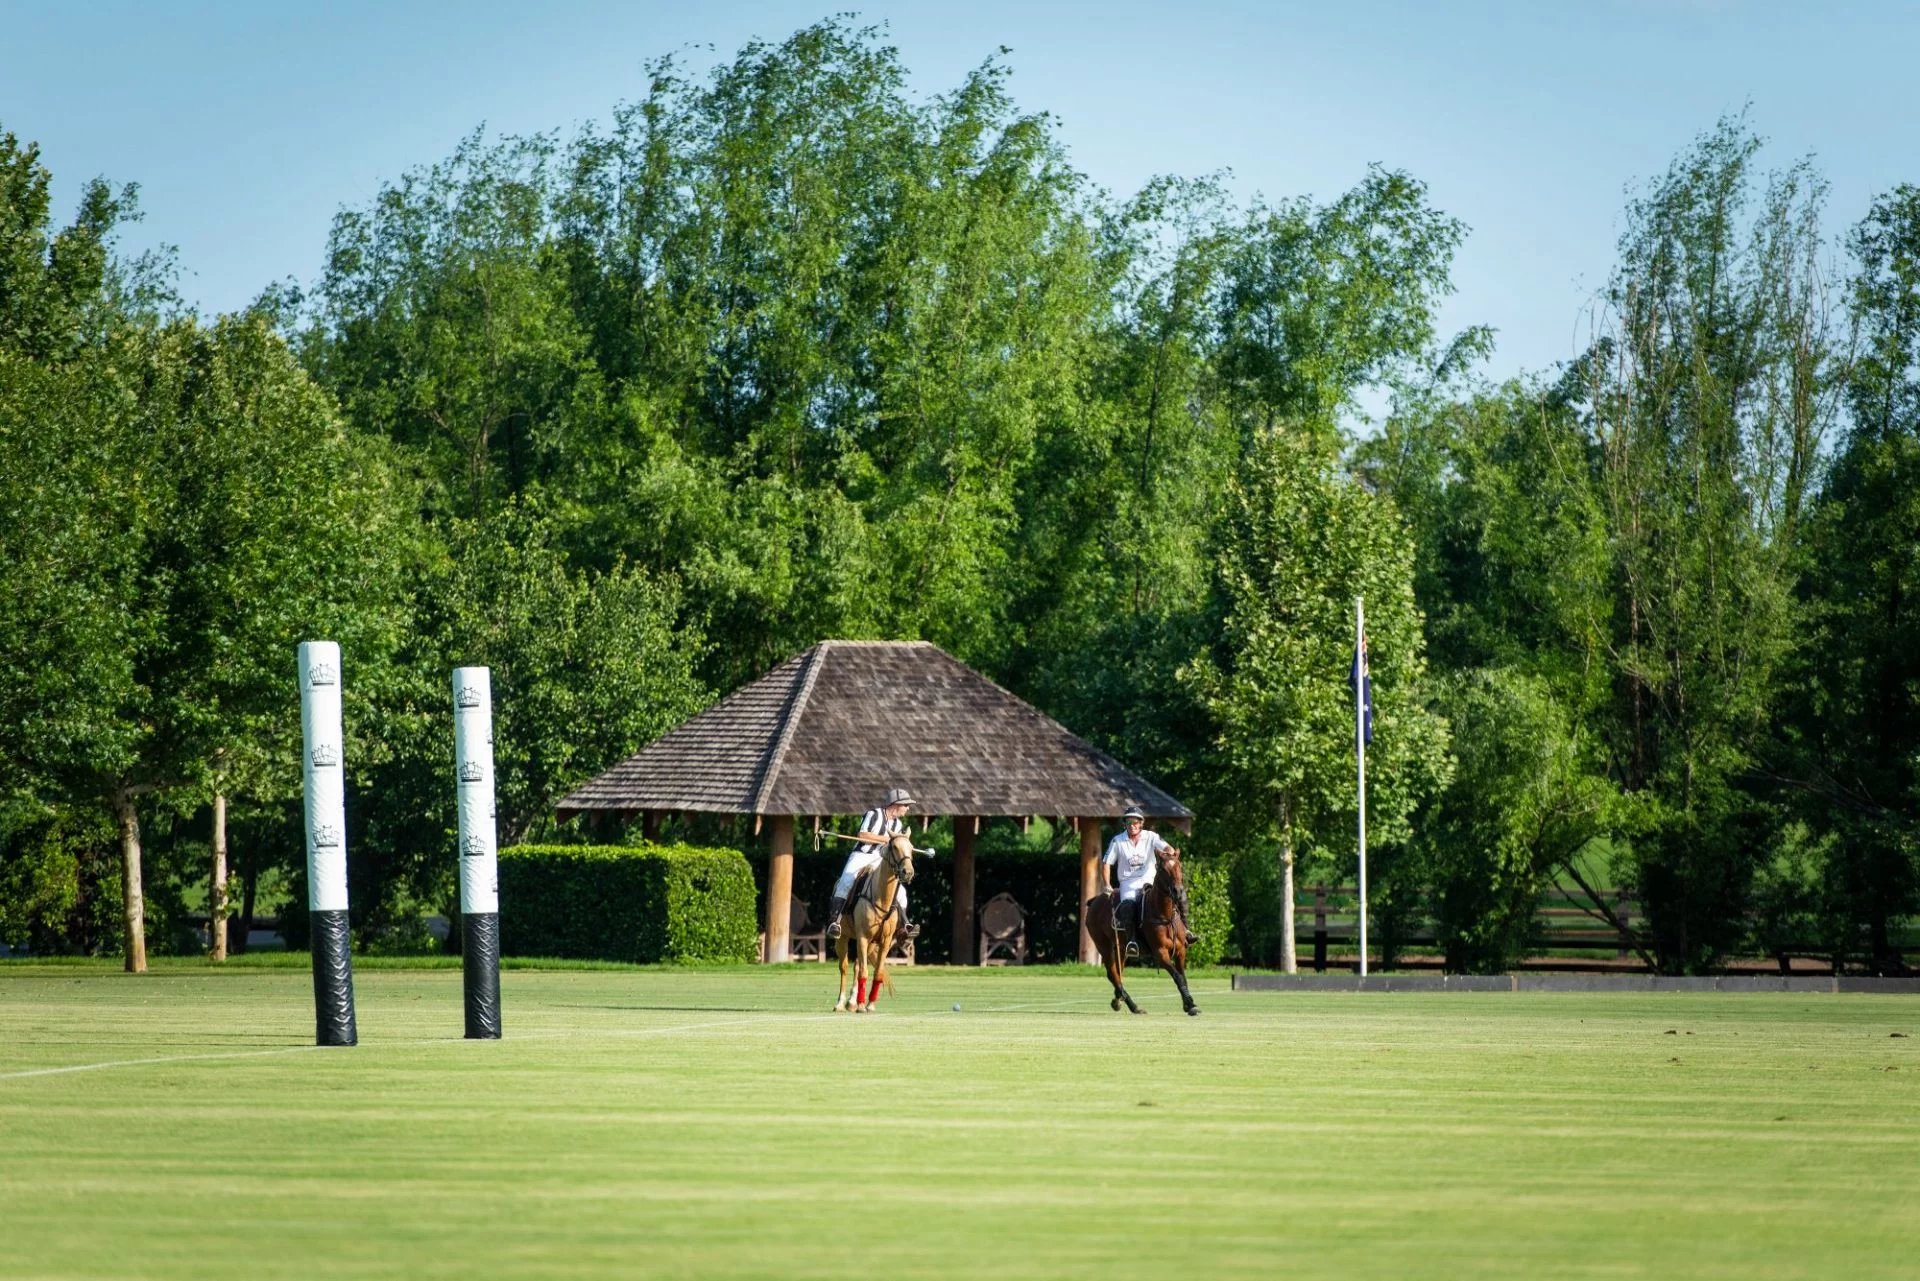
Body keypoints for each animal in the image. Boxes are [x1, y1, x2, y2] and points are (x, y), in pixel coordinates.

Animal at [829, 837, 917, 1014]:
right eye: (894, 847)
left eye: (911, 848)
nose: (908, 872)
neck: (882, 897)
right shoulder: (863, 936)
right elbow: (864, 971)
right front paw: (863, 1006)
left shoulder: (885, 941)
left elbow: (877, 972)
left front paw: (869, 1004)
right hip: (843, 938)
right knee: (844, 967)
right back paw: (841, 1003)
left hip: (870, 944)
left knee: (856, 966)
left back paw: (852, 1002)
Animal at [1082, 845, 1198, 1014]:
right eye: (1163, 869)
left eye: (1179, 866)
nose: (1178, 891)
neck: (1164, 915)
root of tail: (1095, 900)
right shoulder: (1160, 953)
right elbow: (1177, 976)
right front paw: (1190, 1003)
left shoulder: (1181, 951)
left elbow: (1183, 976)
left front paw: (1188, 1004)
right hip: (1103, 944)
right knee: (1112, 973)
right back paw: (1133, 1006)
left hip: (1120, 947)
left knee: (1118, 971)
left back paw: (1118, 1000)